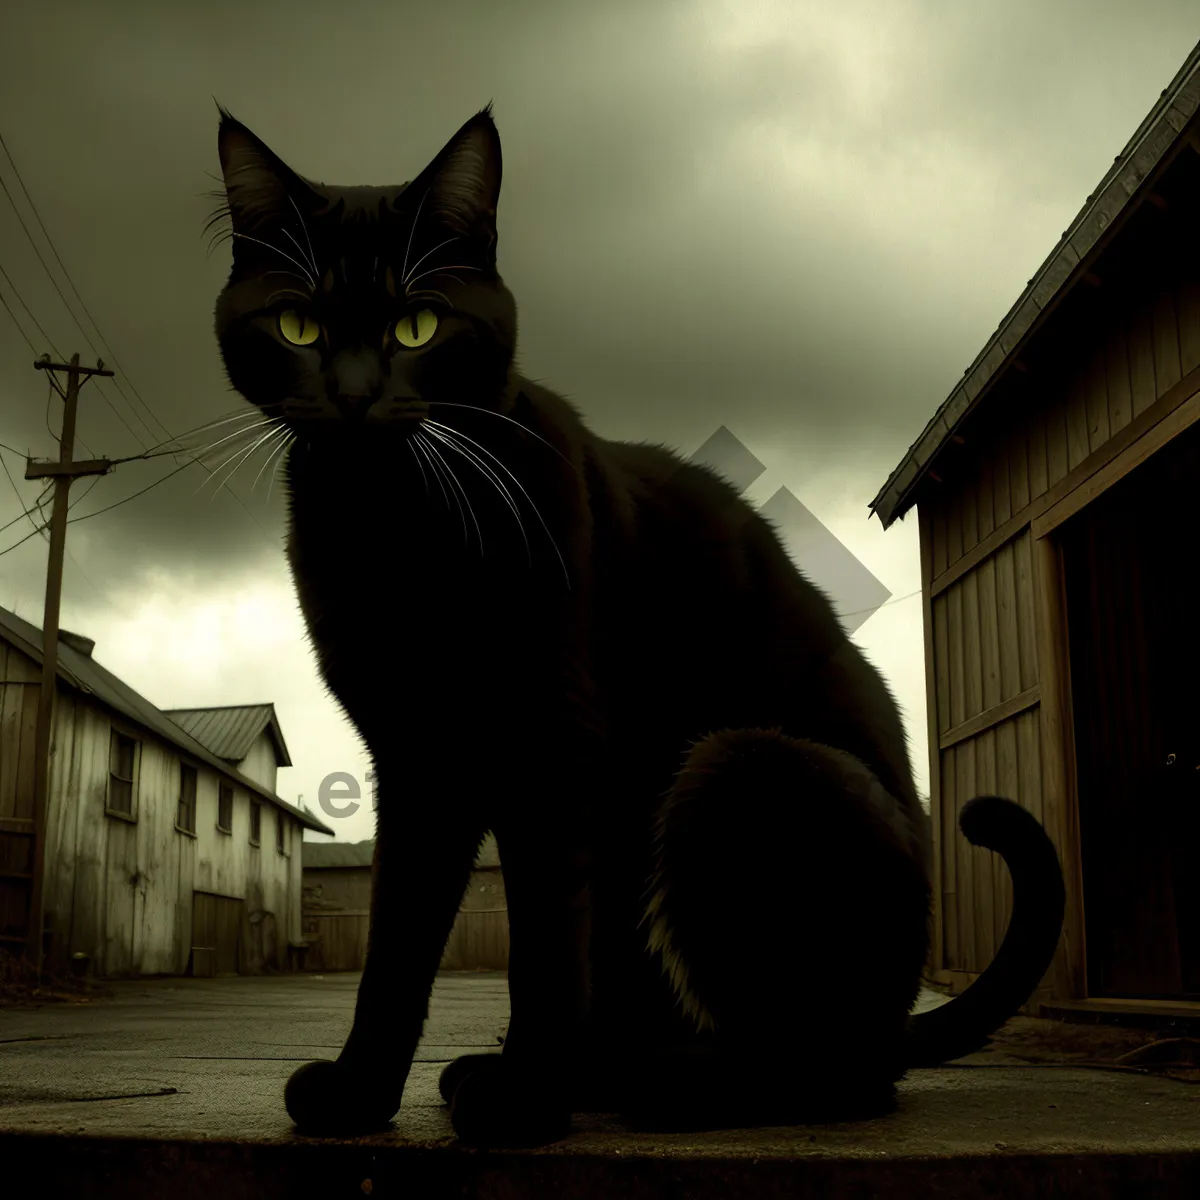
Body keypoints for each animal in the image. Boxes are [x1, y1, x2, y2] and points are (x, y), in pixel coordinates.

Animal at [211, 103, 1065, 1142]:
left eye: (419, 325)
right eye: (297, 323)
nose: (355, 393)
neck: (391, 524)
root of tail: (900, 1010)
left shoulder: (551, 736)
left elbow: (542, 945)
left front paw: (523, 1103)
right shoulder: (418, 755)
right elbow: (397, 946)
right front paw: (360, 1096)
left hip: (741, 764)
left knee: (836, 1072)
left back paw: (650, 1081)